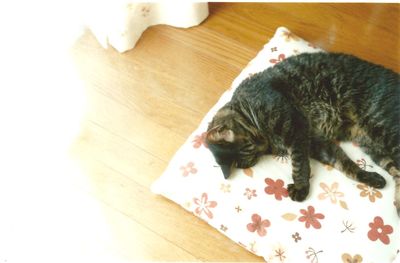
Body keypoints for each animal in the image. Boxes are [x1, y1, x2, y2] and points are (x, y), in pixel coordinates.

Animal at [206, 52, 400, 217]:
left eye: (250, 141)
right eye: (253, 157)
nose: (262, 141)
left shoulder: (295, 127)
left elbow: (299, 164)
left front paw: (300, 188)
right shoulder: (316, 142)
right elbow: (345, 164)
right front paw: (369, 177)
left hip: (385, 131)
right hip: (373, 146)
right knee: (396, 171)